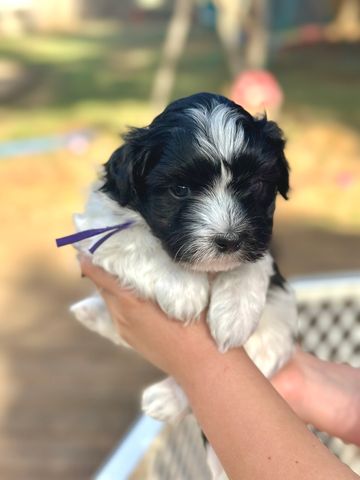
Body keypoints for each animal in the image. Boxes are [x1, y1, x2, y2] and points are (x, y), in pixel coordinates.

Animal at [71, 92, 298, 478]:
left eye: (254, 185)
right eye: (180, 190)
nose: (228, 240)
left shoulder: (261, 245)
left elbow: (251, 264)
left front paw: (233, 315)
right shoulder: (99, 226)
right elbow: (137, 240)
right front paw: (183, 290)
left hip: (276, 329)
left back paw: (165, 397)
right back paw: (91, 313)